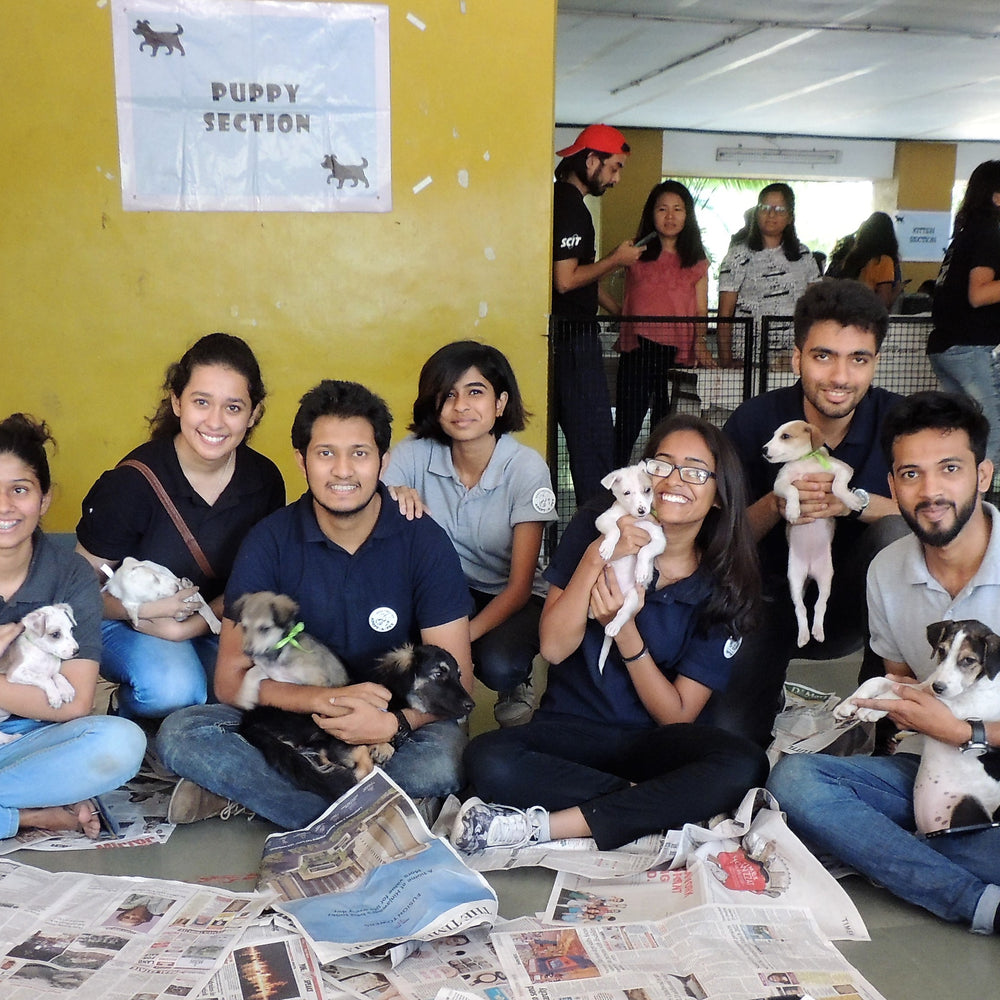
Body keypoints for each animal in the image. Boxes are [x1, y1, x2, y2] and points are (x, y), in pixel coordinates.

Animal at [0, 600, 78, 744]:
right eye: (55, 634)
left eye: (71, 630)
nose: (77, 651)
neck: (44, 654)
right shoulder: (16, 672)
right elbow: (44, 678)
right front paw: (55, 696)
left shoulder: (53, 670)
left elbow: (57, 675)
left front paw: (66, 690)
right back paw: (10, 738)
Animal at [592, 462, 664, 672]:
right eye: (627, 493)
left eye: (647, 490)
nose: (642, 510)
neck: (635, 519)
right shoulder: (604, 519)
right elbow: (615, 529)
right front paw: (609, 546)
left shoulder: (659, 539)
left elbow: (645, 551)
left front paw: (641, 570)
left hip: (633, 597)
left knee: (623, 613)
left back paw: (614, 625)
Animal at [760, 420, 864, 648]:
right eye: (773, 435)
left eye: (785, 436)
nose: (763, 449)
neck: (804, 462)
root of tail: (809, 571)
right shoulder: (780, 484)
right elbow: (793, 490)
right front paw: (793, 510)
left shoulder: (843, 469)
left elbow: (837, 485)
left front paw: (851, 500)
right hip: (795, 579)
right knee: (801, 608)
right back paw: (804, 635)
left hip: (826, 579)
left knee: (819, 605)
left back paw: (817, 630)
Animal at [832, 616, 1000, 836]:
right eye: (941, 651)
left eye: (969, 660)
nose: (938, 687)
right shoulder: (922, 685)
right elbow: (878, 680)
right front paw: (848, 704)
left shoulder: (957, 706)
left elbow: (904, 695)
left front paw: (872, 709)